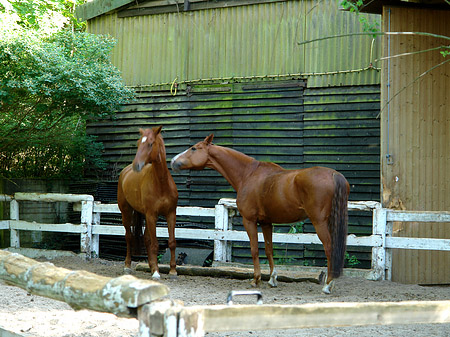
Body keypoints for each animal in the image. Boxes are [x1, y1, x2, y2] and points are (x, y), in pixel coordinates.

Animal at [118, 125, 178, 278]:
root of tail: (125, 171)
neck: (161, 184)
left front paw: (173, 270)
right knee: (129, 237)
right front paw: (156, 272)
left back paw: (151, 265)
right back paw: (127, 266)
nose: (137, 165)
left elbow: (171, 242)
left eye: (151, 144)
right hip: (126, 212)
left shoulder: (170, 214)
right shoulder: (152, 215)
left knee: (146, 239)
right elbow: (155, 244)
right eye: (139, 143)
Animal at [171, 133, 350, 292]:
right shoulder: (266, 222)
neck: (248, 174)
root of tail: (334, 174)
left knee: (329, 248)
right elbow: (269, 249)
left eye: (194, 148)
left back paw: (328, 285)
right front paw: (272, 279)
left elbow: (254, 249)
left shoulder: (249, 220)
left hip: (319, 222)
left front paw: (256, 280)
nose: (173, 161)